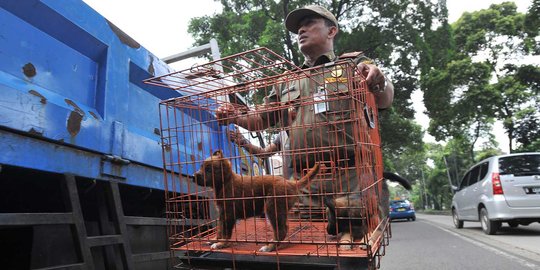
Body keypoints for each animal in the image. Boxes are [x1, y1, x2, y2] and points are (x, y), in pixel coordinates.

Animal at [143, 47, 388, 268]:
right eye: (202, 168)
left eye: (208, 170)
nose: (195, 177)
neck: (225, 183)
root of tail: (291, 184)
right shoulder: (222, 214)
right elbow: (220, 230)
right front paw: (215, 241)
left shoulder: (229, 213)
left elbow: (226, 232)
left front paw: (221, 244)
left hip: (272, 207)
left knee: (282, 230)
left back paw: (270, 246)